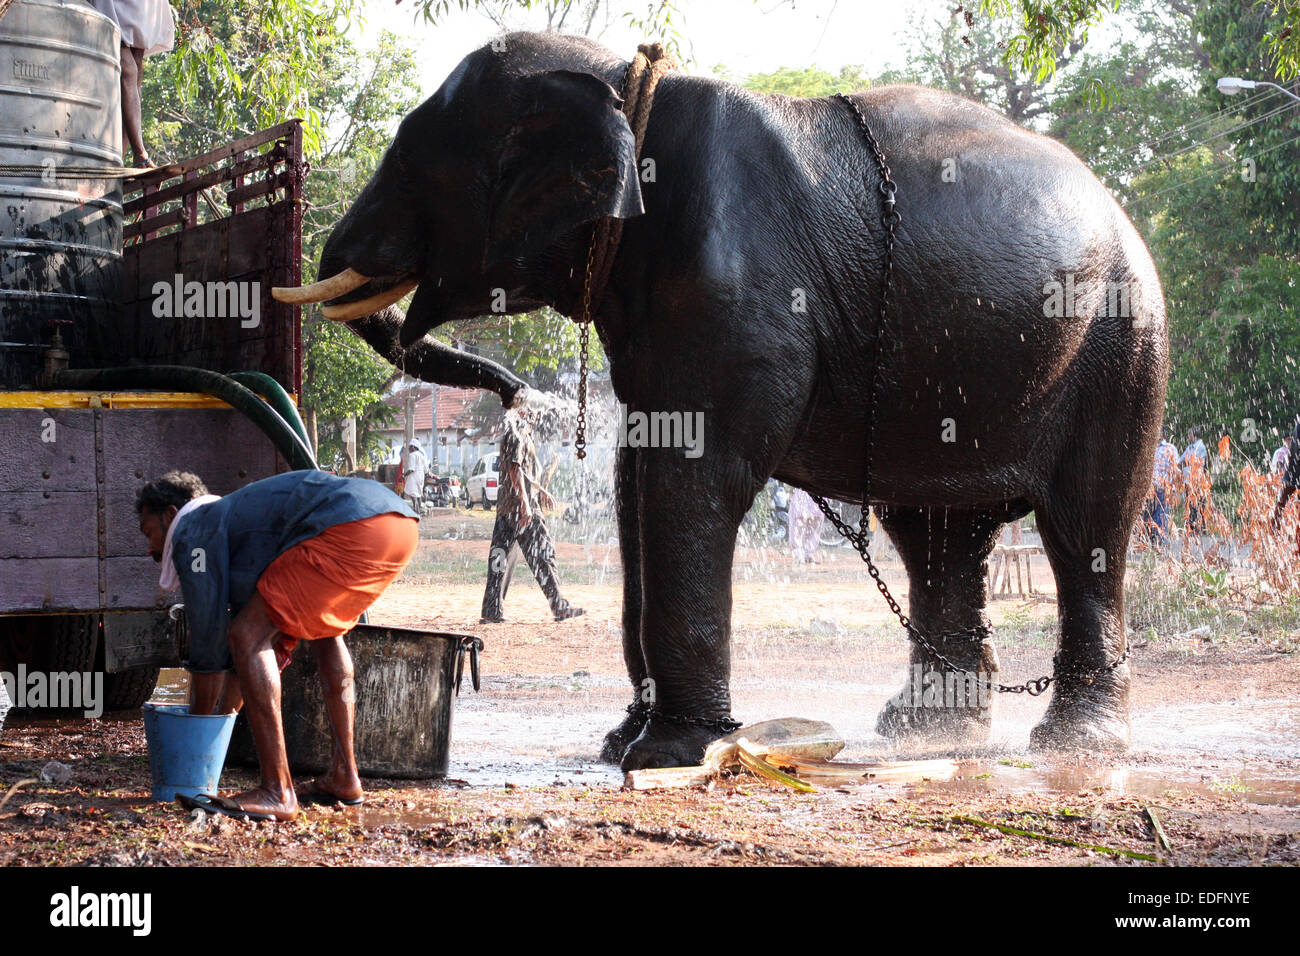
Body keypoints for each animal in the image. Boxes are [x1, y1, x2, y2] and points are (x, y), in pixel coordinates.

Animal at [274, 33, 1170, 775]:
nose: (515, 396)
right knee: (934, 534)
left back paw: (1076, 742)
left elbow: (690, 479)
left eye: (408, 161)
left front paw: (666, 753)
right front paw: (621, 743)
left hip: (1119, 345)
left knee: (1084, 526)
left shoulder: (736, 295)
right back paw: (923, 730)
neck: (622, 88)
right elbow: (637, 483)